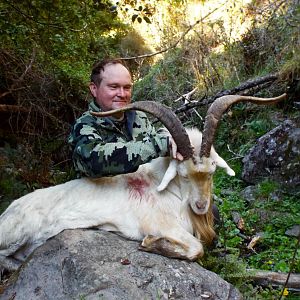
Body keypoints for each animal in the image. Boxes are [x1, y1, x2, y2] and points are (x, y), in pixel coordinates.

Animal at [0, 94, 286, 272]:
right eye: (183, 174)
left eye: (212, 171)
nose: (201, 206)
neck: (169, 193)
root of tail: (7, 212)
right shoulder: (161, 224)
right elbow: (196, 249)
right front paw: (151, 244)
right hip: (17, 233)